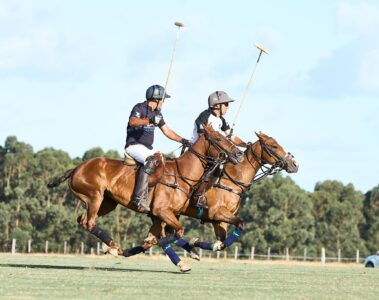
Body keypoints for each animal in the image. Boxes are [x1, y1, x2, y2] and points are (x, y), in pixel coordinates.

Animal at [47, 123, 243, 250]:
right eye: (218, 138)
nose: (239, 154)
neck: (183, 175)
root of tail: (75, 169)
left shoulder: (165, 214)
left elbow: (167, 233)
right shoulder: (161, 211)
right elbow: (177, 232)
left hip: (107, 202)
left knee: (82, 220)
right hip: (95, 195)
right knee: (88, 222)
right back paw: (113, 247)